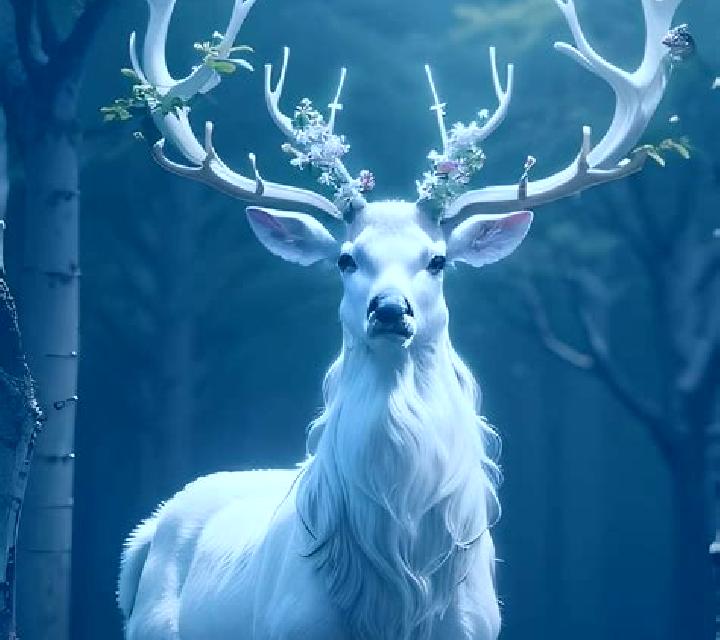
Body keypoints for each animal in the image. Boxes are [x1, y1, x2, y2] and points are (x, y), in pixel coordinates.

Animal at [116, 0, 683, 638]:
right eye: (346, 258)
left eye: (436, 260)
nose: (389, 309)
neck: (394, 592)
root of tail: (143, 536)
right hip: (151, 626)